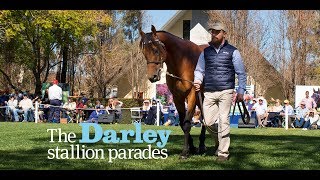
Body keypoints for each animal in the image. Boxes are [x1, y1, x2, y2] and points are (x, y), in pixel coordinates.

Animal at [139, 25, 209, 159]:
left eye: (156, 50)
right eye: (144, 53)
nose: (152, 77)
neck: (183, 61)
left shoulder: (192, 94)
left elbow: (187, 123)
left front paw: (185, 152)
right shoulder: (178, 97)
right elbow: (182, 123)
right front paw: (191, 148)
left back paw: (203, 145)